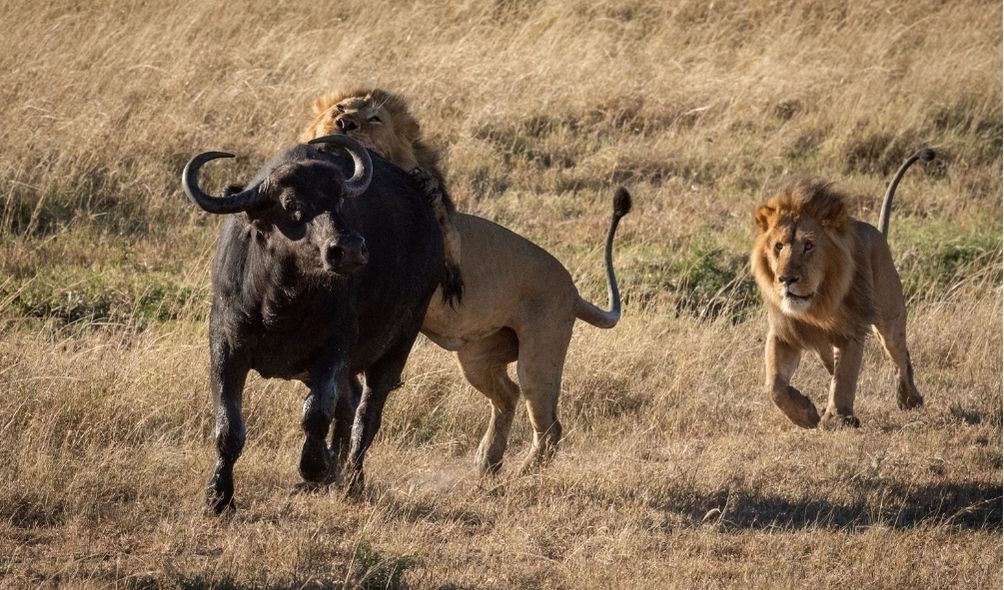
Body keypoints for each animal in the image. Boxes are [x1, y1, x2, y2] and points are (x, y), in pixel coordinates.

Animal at [184, 133, 443, 511]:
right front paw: (219, 495)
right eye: (291, 204)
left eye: (339, 199)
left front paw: (316, 466)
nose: (348, 250)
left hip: (399, 344)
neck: (280, 302)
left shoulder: (335, 349)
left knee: (366, 416)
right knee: (349, 402)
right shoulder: (225, 346)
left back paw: (351, 480)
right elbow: (229, 426)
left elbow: (317, 413)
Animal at [755, 148, 931, 429]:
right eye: (778, 247)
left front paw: (837, 417)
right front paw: (805, 415)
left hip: (889, 318)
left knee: (899, 356)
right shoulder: (784, 332)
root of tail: (876, 232)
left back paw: (909, 398)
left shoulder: (851, 330)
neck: (816, 304)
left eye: (808, 246)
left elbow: (845, 378)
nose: (785, 279)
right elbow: (774, 385)